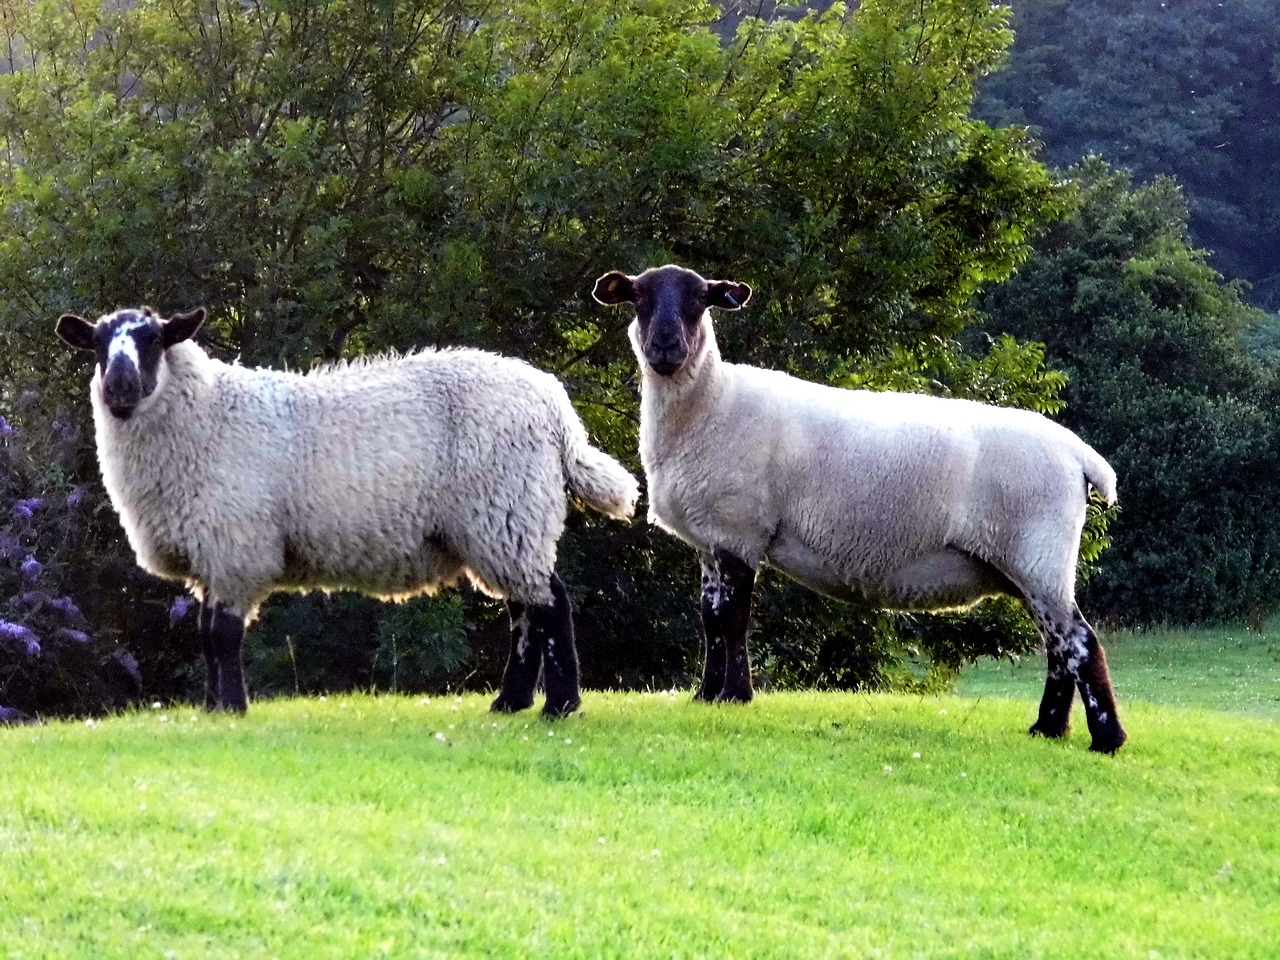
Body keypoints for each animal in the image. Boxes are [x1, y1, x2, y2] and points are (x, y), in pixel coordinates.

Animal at [57, 304, 637, 716]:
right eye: (98, 345)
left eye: (154, 340)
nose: (119, 388)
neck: (206, 416)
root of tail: (556, 411)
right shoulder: (211, 555)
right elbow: (204, 635)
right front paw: (211, 707)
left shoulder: (236, 546)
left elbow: (223, 635)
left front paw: (232, 708)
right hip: (501, 522)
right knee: (524, 611)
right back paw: (509, 703)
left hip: (508, 510)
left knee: (550, 605)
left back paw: (559, 706)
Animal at [593, 267, 1126, 757]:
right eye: (639, 297)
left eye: (699, 299)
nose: (665, 347)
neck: (710, 405)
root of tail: (1079, 455)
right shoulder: (710, 539)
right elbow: (710, 620)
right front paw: (706, 696)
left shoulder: (740, 530)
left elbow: (733, 619)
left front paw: (734, 696)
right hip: (1026, 562)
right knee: (1058, 646)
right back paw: (1048, 730)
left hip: (1038, 553)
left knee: (1081, 641)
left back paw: (1106, 738)